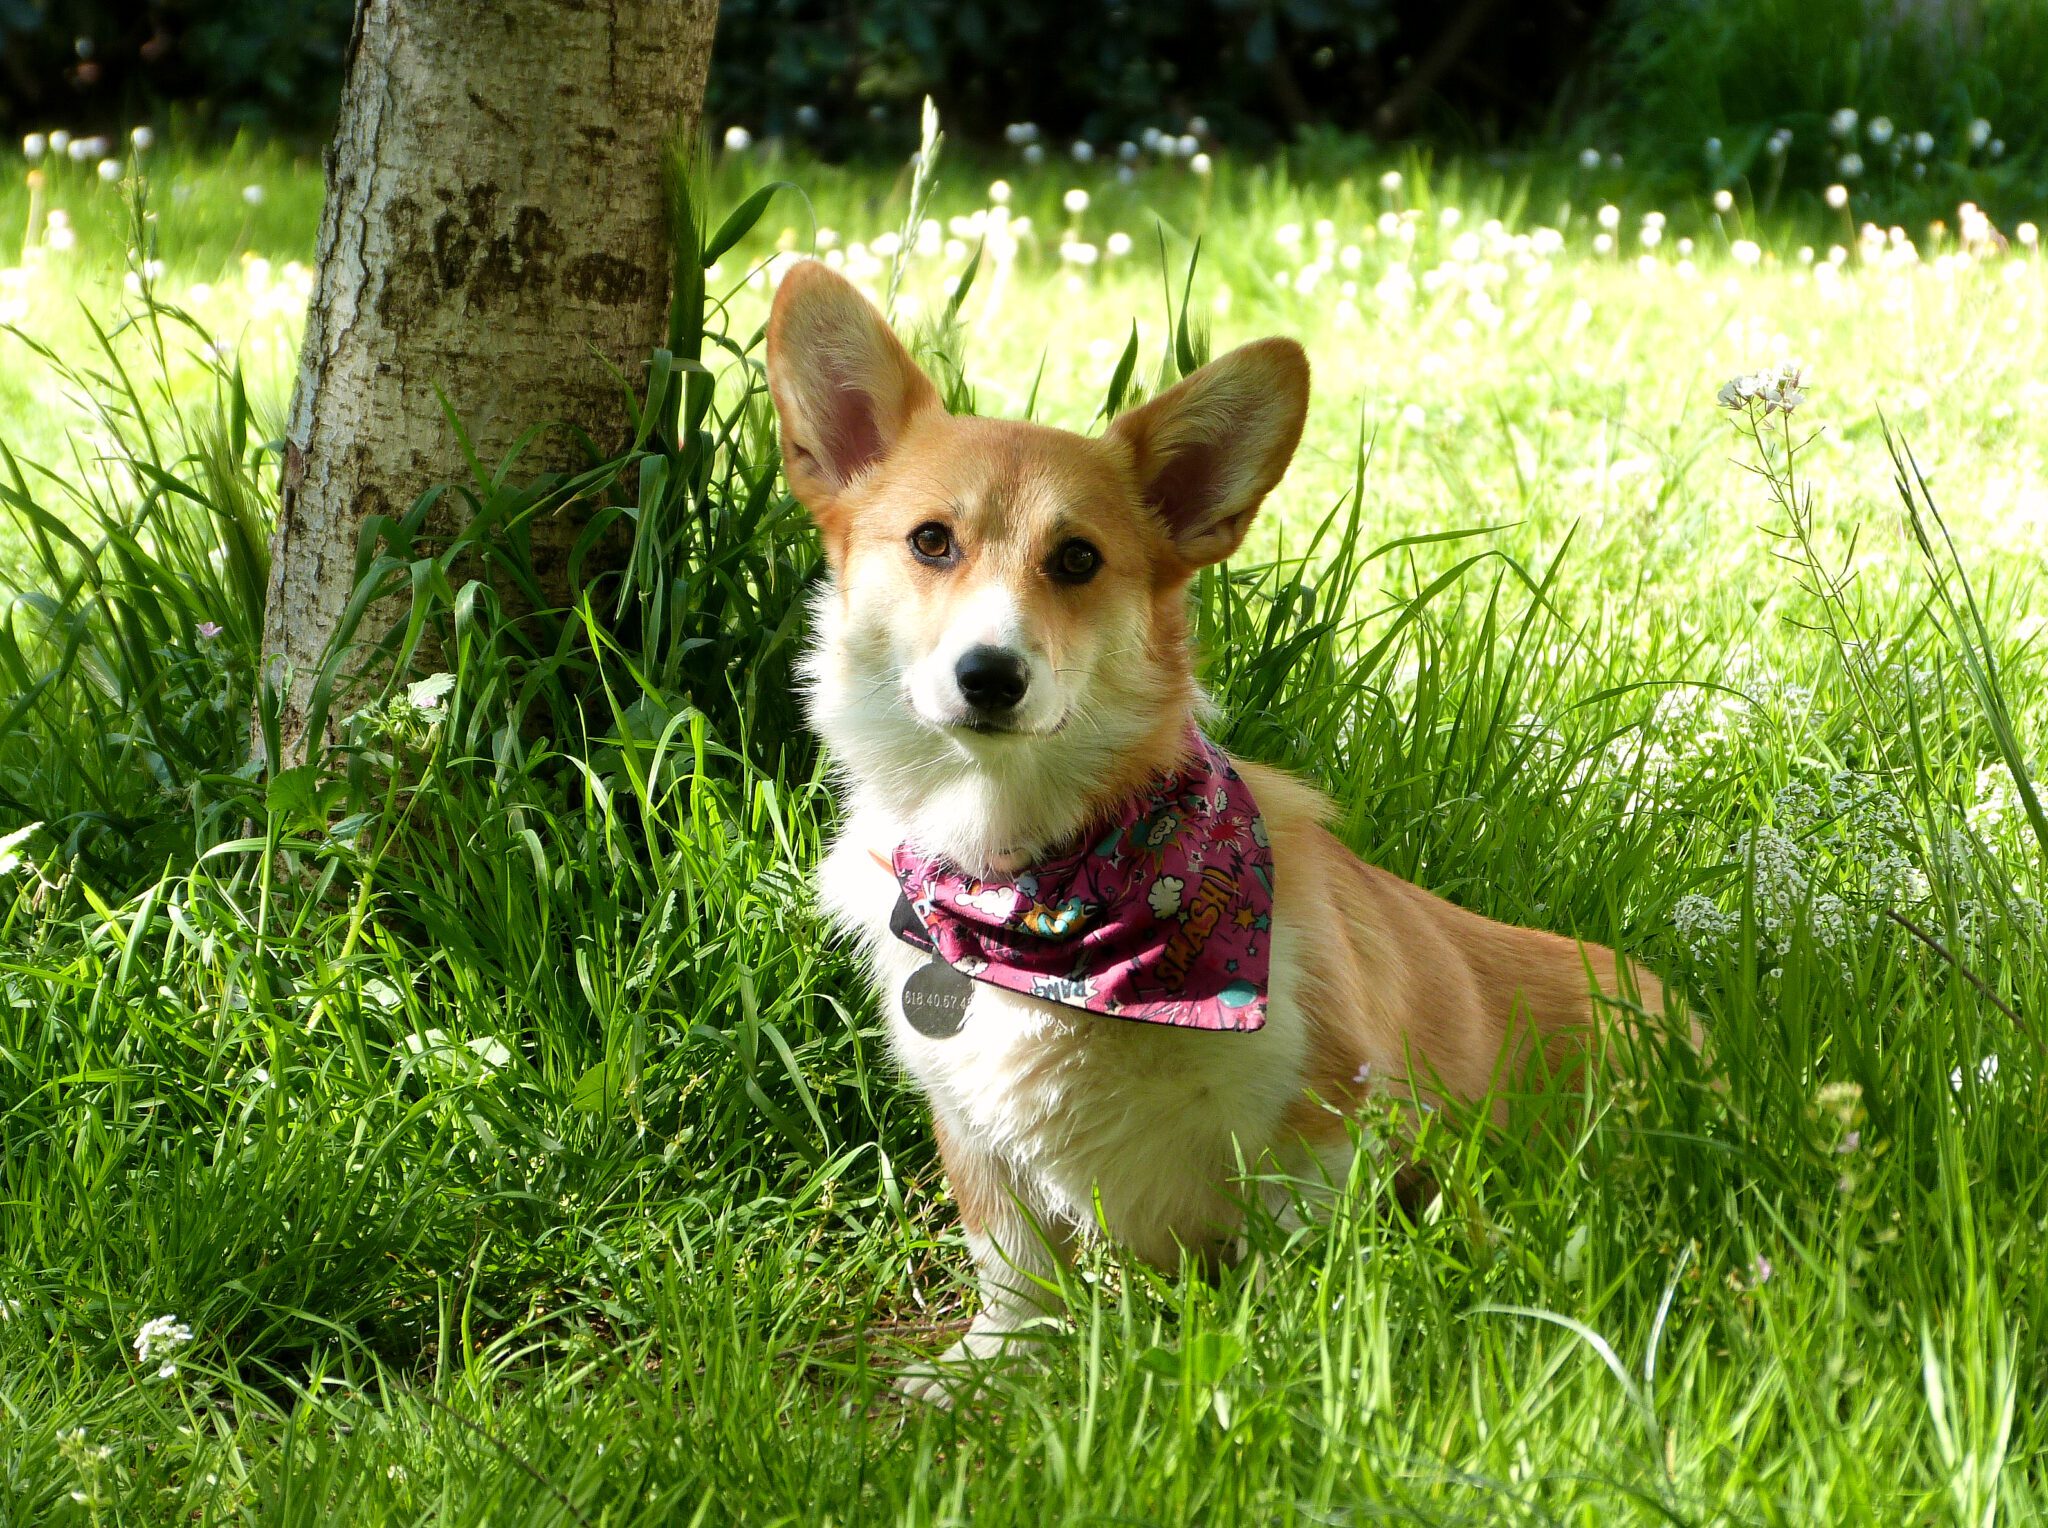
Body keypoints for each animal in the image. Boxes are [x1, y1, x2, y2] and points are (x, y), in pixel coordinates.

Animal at [770, 259, 1662, 1392]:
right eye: (932, 541)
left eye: (1076, 559)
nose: (990, 676)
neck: (1036, 888)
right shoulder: (970, 1120)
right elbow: (1010, 1259)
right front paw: (993, 1362)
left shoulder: (1317, 1113)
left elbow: (1293, 1258)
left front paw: (1264, 1362)